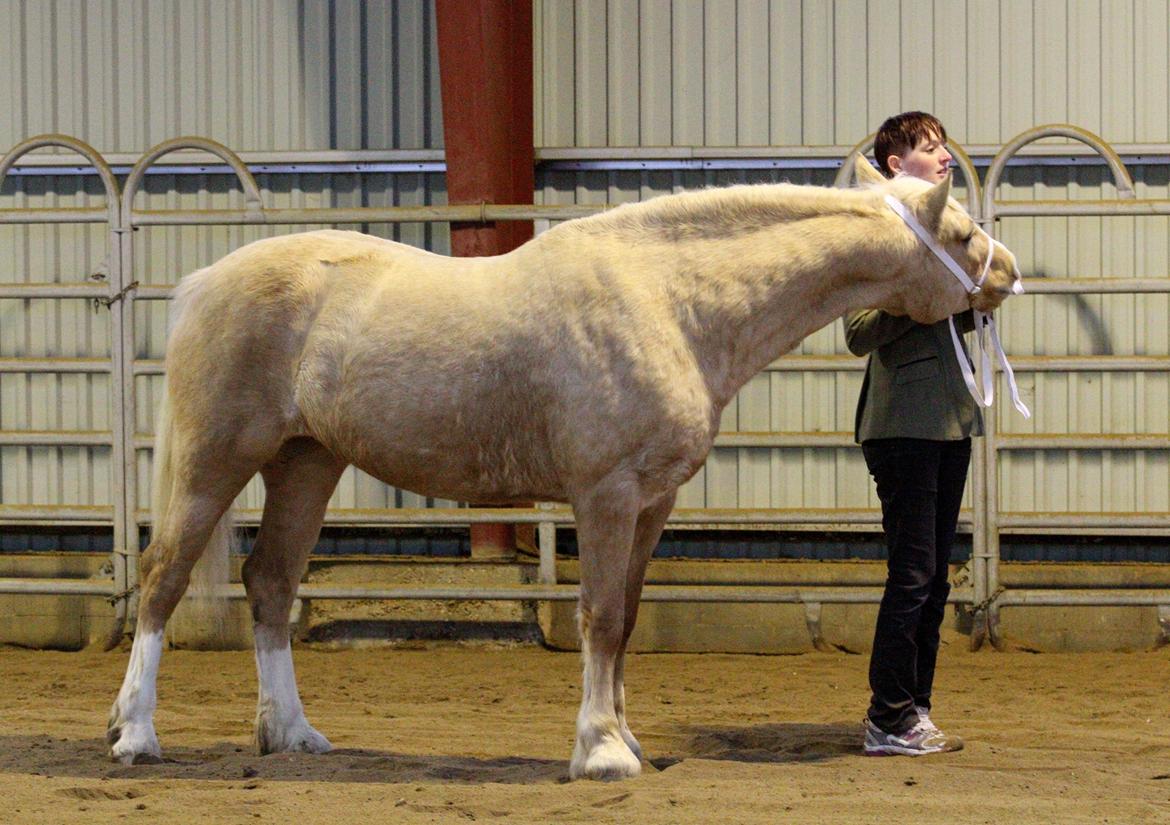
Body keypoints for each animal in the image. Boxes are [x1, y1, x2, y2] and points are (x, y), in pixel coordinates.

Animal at [111, 162, 1024, 777]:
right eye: (959, 233)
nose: (1009, 273)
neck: (670, 299)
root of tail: (205, 281)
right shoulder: (606, 494)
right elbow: (596, 618)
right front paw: (602, 750)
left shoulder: (653, 502)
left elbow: (626, 619)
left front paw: (626, 735)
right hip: (217, 459)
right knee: (161, 579)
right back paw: (136, 733)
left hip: (307, 462)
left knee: (269, 583)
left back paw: (293, 733)